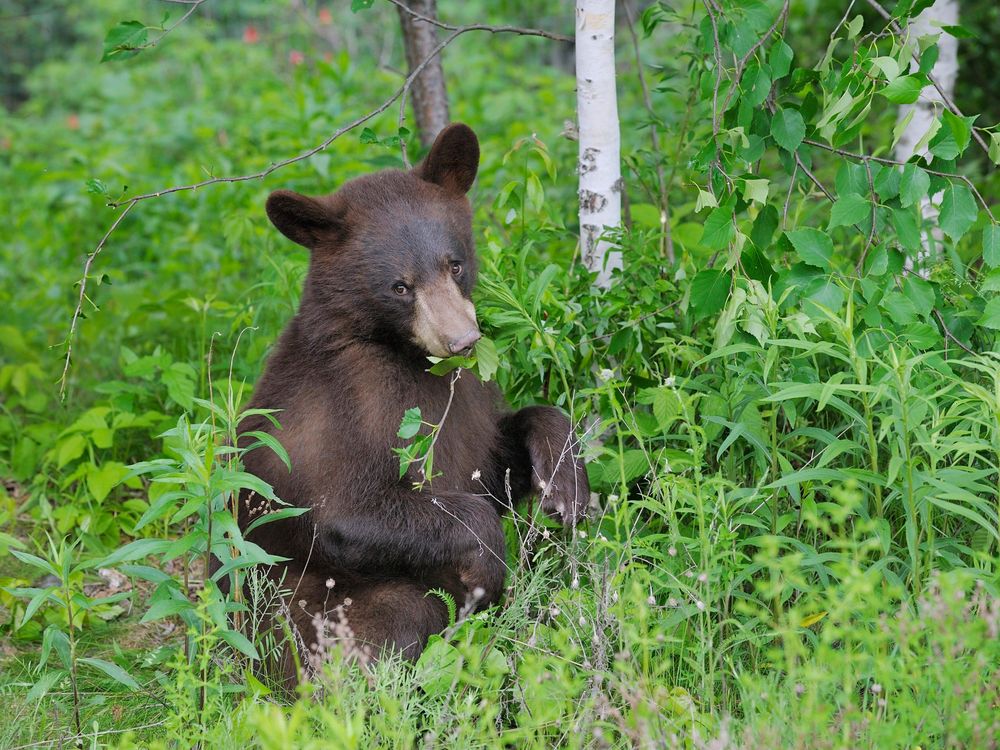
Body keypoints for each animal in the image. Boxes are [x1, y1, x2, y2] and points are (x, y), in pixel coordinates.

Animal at [238, 123, 588, 688]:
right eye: (400, 286)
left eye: (455, 263)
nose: (462, 340)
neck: (405, 357)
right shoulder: (349, 407)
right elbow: (345, 511)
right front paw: (487, 567)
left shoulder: (469, 402)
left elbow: (495, 456)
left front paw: (565, 485)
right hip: (297, 620)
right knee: (401, 615)